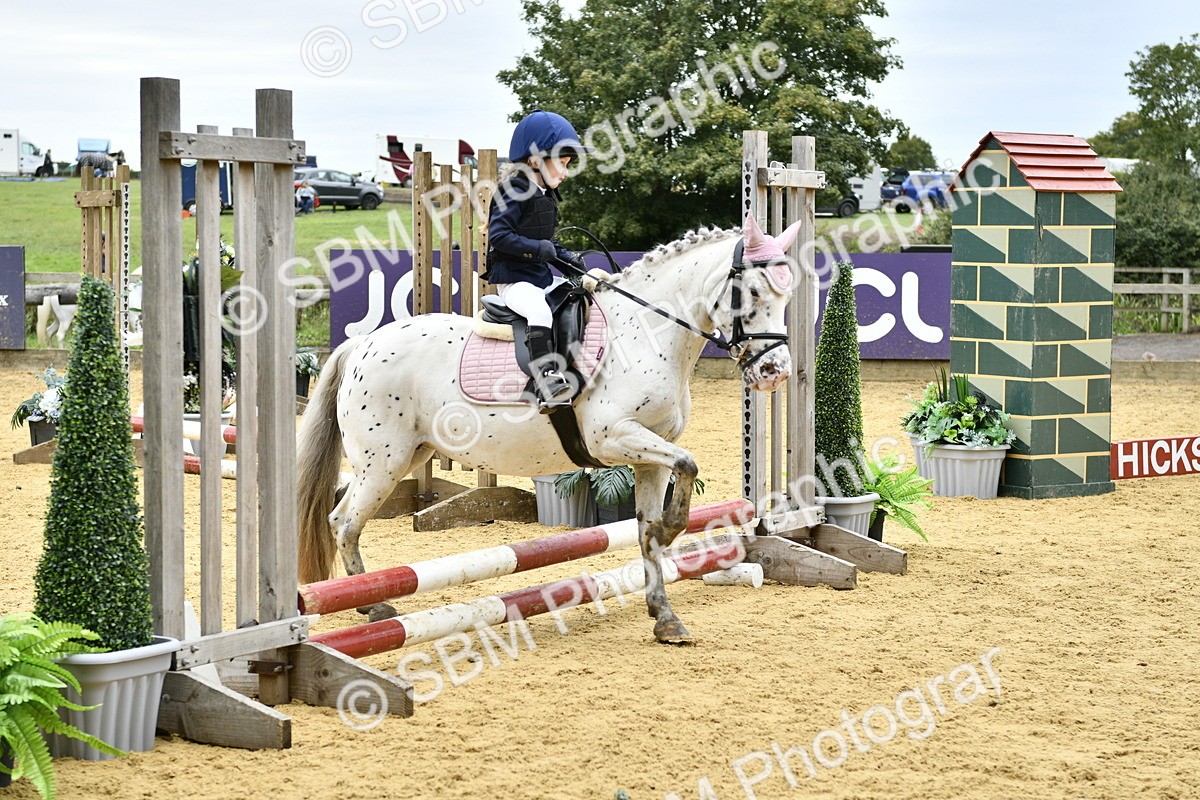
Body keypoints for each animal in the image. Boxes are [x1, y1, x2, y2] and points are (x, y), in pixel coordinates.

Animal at [296, 214, 802, 643]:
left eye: (786, 298)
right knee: (344, 522)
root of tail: (362, 343)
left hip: (407, 455)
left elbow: (649, 524)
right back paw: (376, 607)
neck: (648, 334)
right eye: (753, 293)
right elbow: (686, 470)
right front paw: (672, 533)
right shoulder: (613, 437)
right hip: (384, 460)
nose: (774, 372)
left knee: (344, 518)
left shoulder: (652, 454)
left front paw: (665, 617)